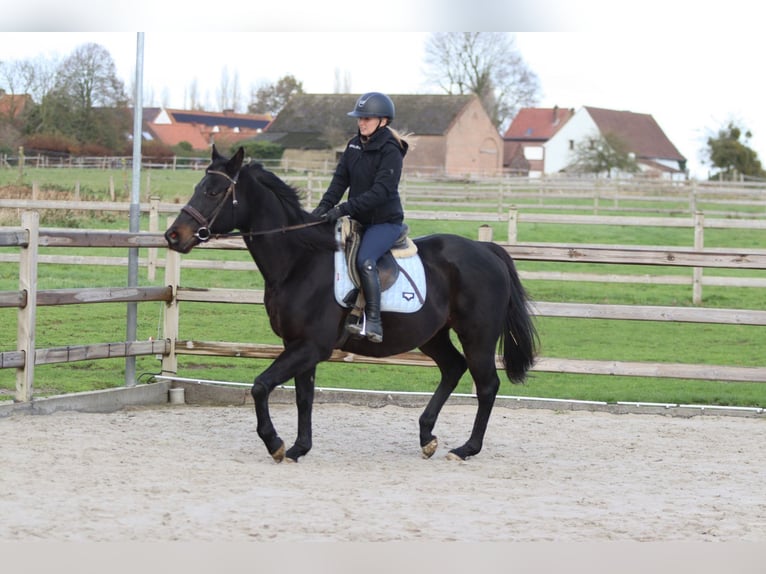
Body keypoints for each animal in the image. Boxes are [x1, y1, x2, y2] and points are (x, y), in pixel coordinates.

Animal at [165, 145, 538, 462]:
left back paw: (466, 449)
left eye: (214, 192)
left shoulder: (310, 346)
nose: (173, 236)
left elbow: (260, 386)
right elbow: (303, 396)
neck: (298, 262)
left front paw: (276, 444)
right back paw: (427, 437)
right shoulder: (297, 345)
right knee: (453, 368)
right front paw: (300, 447)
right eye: (199, 186)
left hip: (478, 336)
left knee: (486, 385)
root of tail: (485, 250)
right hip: (433, 335)